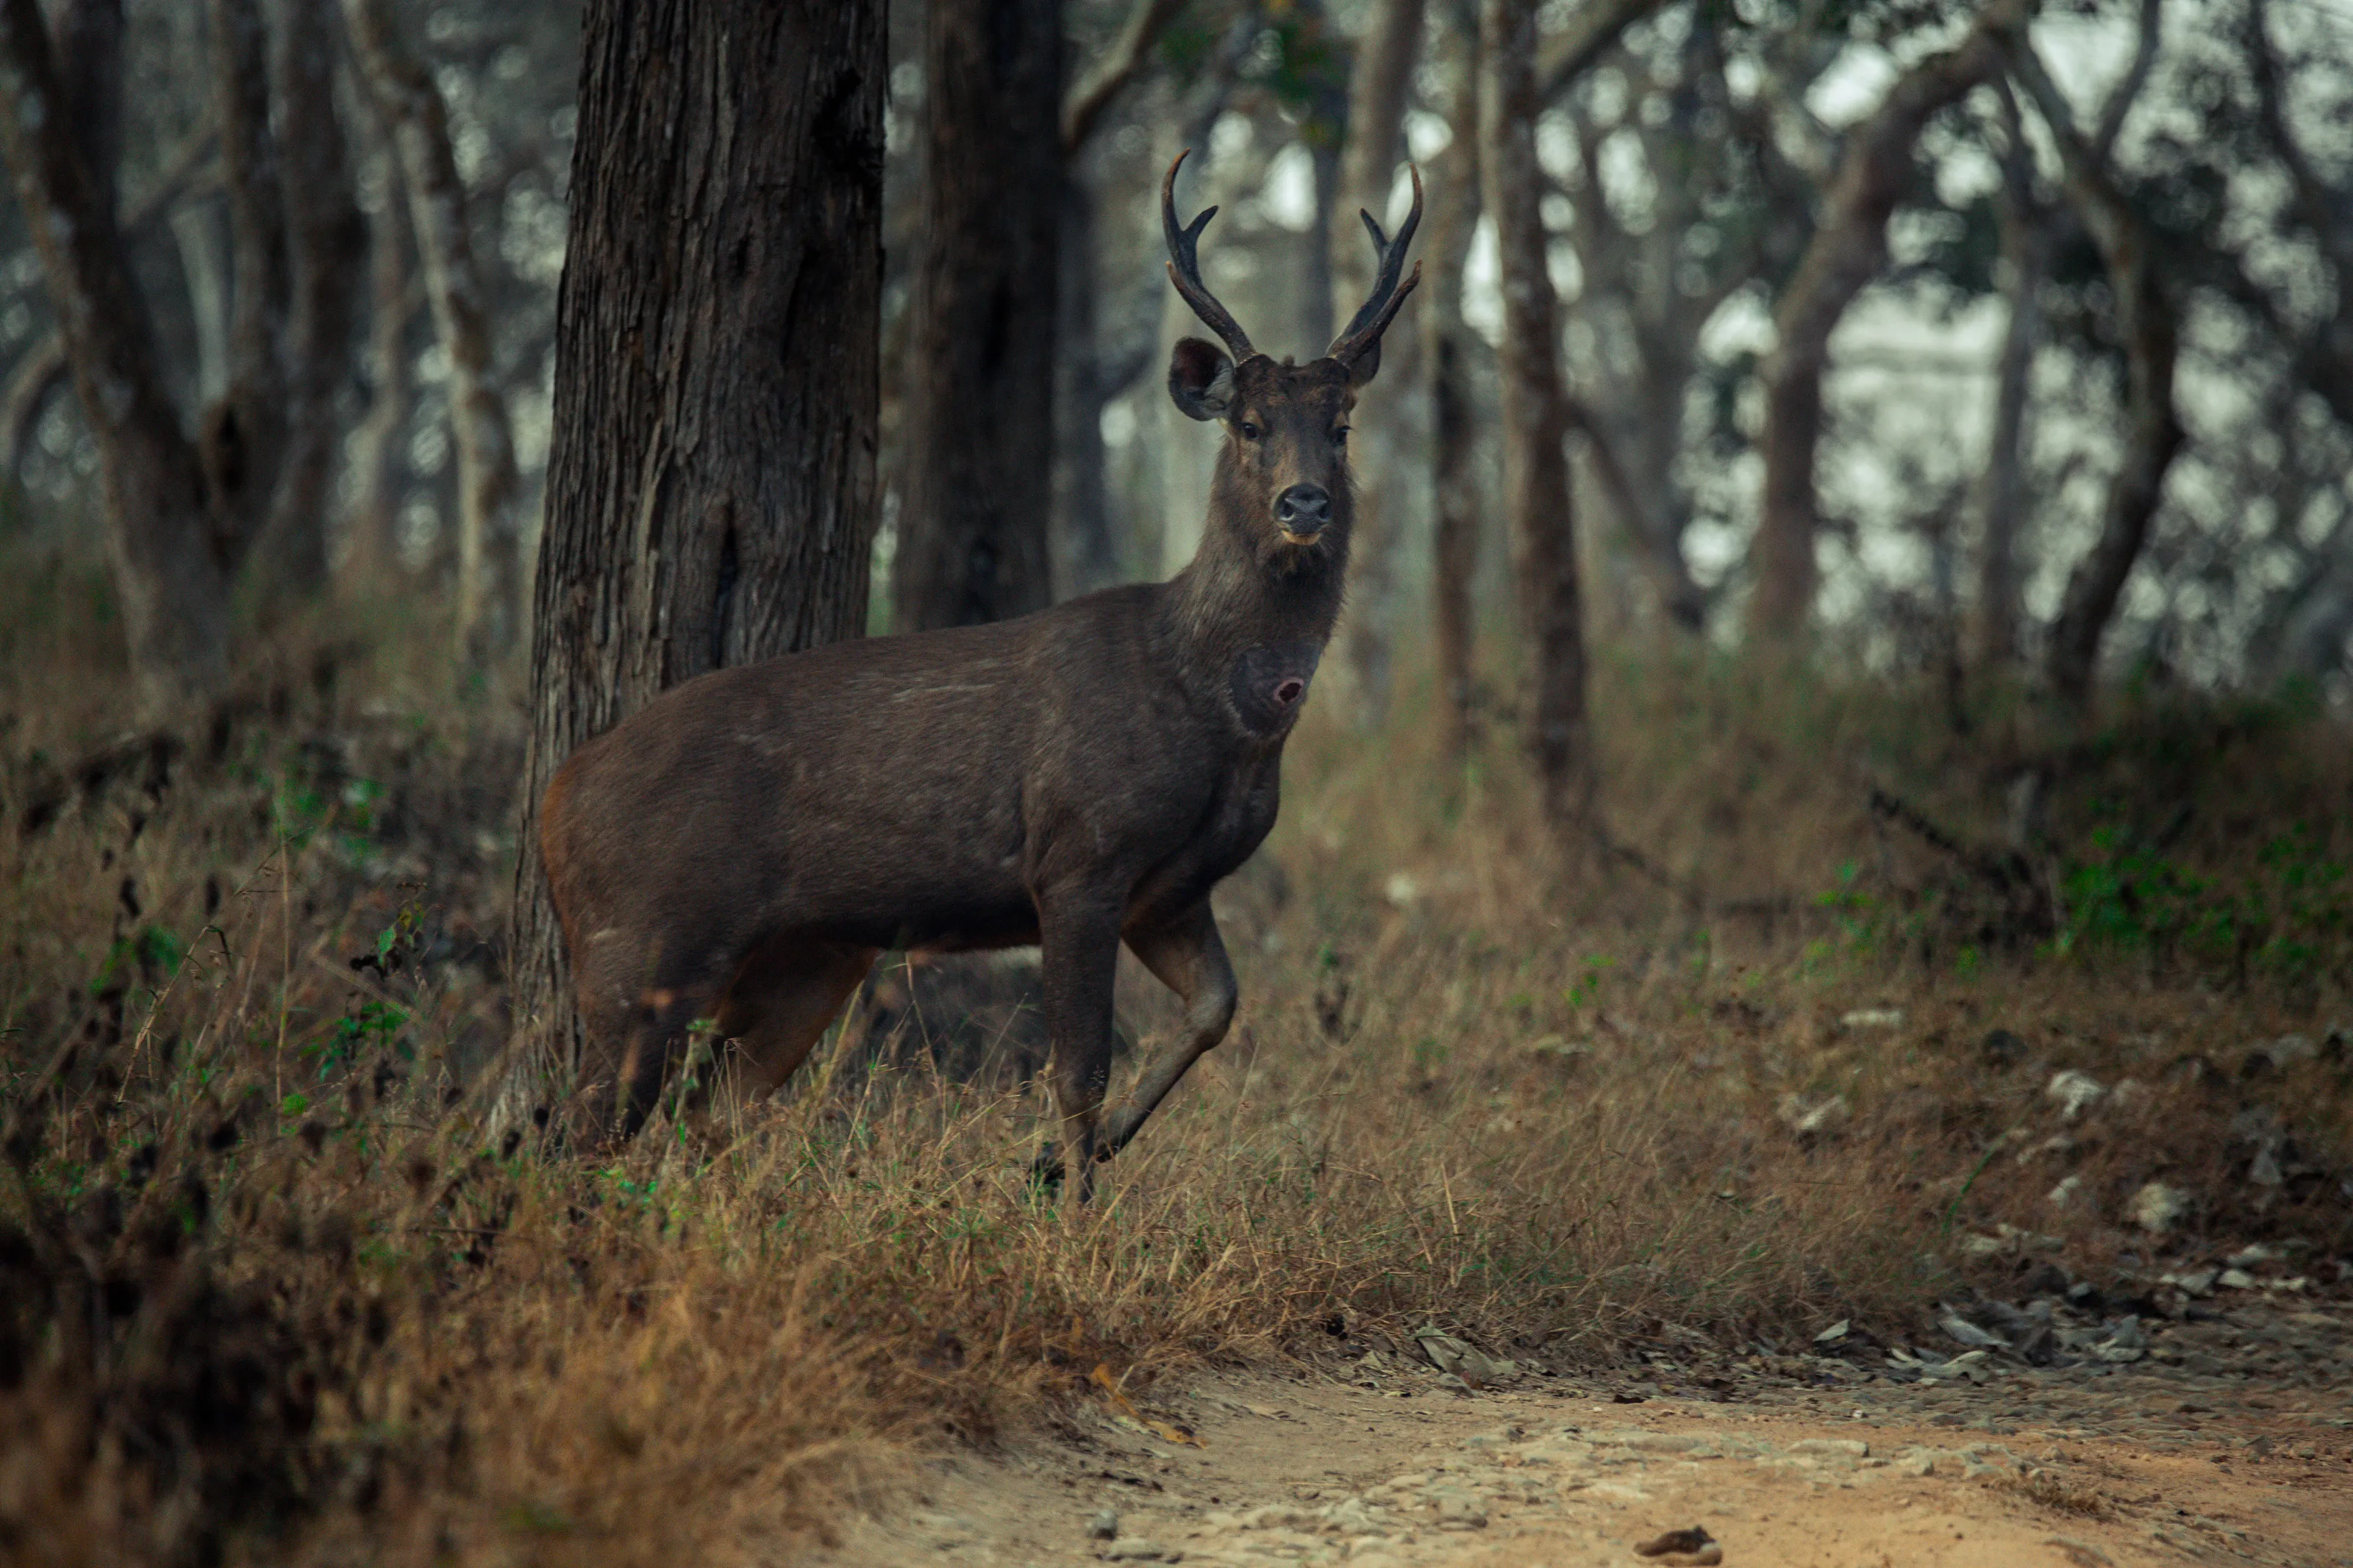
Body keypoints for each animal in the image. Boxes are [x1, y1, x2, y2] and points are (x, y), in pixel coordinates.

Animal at [537, 151, 1420, 1198]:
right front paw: (1069, 1207)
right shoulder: (1077, 856)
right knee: (589, 1127)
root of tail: (554, 798)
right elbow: (1077, 1066)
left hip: (809, 951)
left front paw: (1058, 1164)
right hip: (639, 940)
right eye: (1248, 424)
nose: (1304, 503)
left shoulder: (1169, 889)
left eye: (1341, 423)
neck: (1213, 703)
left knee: (714, 1108)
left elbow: (1215, 1010)